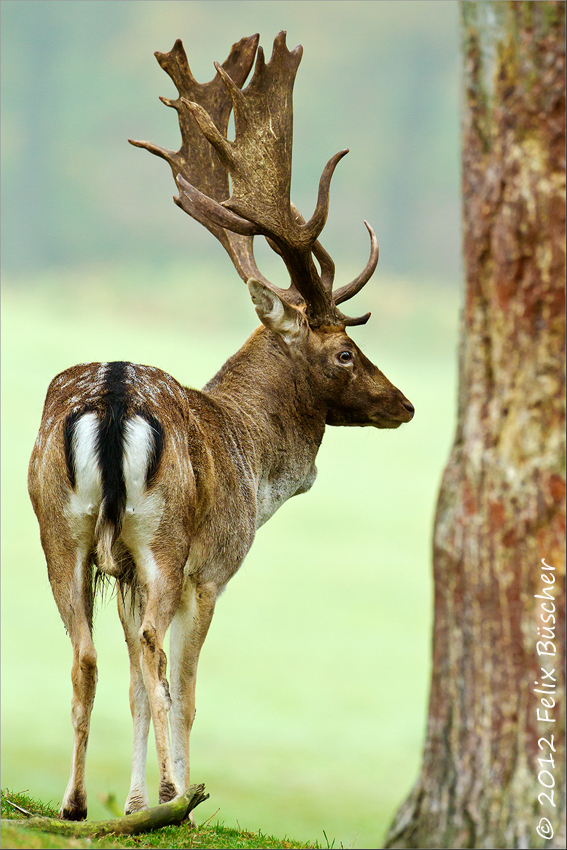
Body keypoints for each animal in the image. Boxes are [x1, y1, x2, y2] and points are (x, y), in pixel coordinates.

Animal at [28, 29, 414, 820]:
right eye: (344, 351)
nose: (403, 403)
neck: (255, 468)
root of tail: (114, 395)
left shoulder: (123, 572)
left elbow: (137, 689)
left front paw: (136, 802)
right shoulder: (211, 570)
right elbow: (183, 689)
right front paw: (171, 794)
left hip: (58, 528)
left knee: (85, 653)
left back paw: (75, 803)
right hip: (163, 539)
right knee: (154, 657)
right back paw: (175, 795)